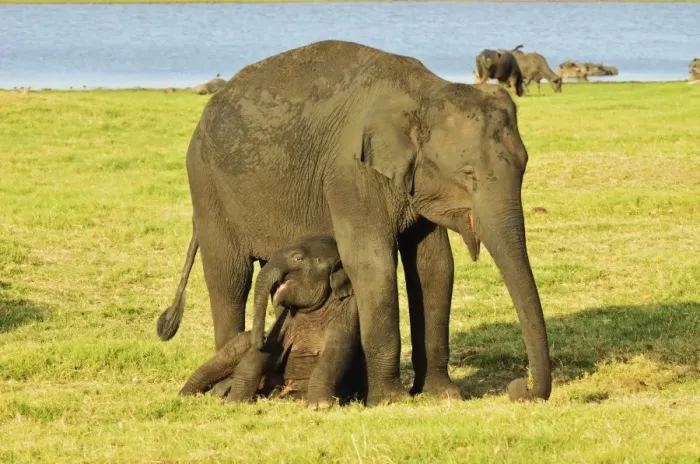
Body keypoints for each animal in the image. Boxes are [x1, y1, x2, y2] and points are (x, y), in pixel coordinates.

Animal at [179, 234, 366, 409]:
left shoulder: (348, 313)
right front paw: (235, 402)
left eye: (298, 258)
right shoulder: (285, 319)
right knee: (234, 349)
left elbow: (337, 351)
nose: (262, 336)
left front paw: (319, 406)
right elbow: (269, 352)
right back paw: (188, 395)